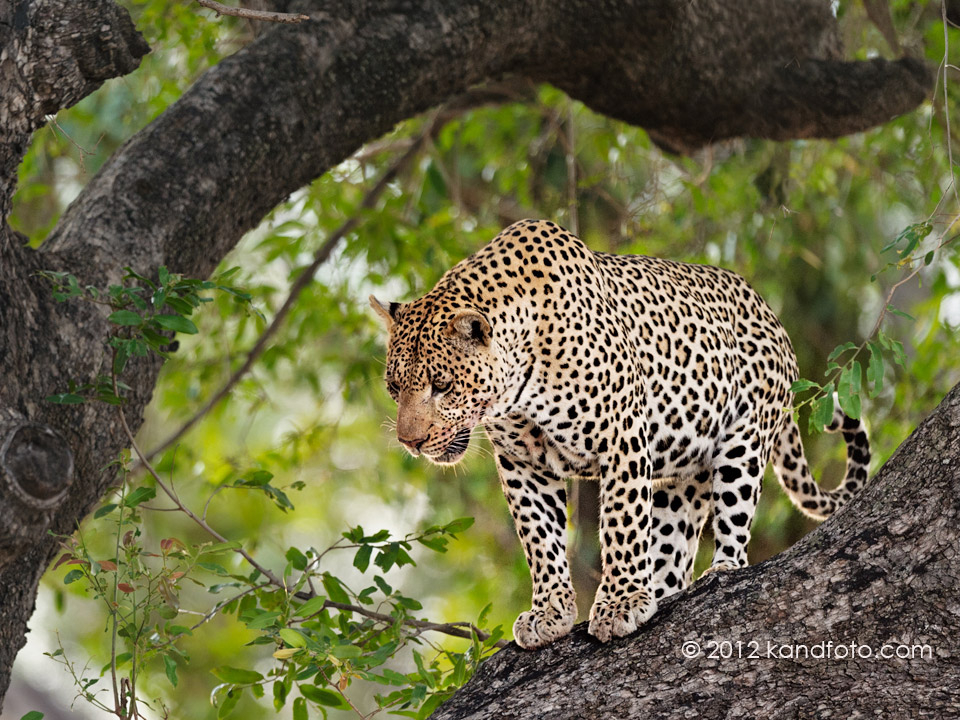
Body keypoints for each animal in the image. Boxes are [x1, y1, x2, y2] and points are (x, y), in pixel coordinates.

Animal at [368, 217, 872, 648]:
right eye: (393, 388)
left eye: (442, 386)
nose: (410, 442)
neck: (518, 384)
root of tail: (773, 317)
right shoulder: (521, 463)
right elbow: (539, 538)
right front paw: (550, 613)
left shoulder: (622, 435)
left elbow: (621, 523)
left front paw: (619, 604)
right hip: (683, 474)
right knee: (673, 546)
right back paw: (663, 593)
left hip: (743, 440)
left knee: (734, 522)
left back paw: (720, 571)